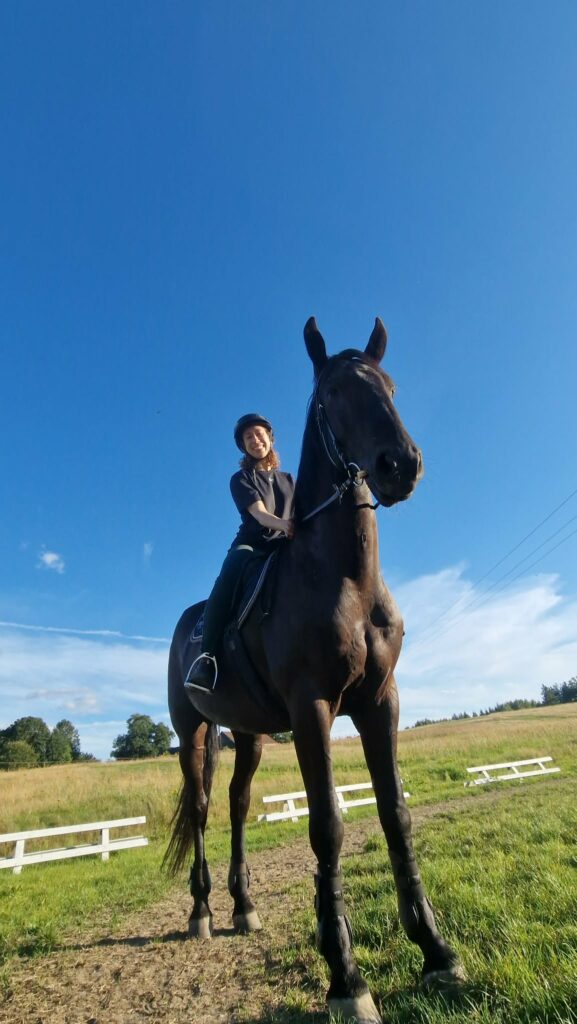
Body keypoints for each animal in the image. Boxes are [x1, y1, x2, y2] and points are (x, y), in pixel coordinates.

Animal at [165, 318, 464, 1024]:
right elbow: (327, 825)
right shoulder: (313, 710)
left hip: (246, 734)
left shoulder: (381, 701)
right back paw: (202, 912)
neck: (345, 580)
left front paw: (436, 952)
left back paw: (243, 907)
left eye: (390, 386)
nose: (400, 466)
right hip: (192, 731)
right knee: (202, 807)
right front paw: (346, 977)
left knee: (237, 805)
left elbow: (395, 814)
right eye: (332, 393)